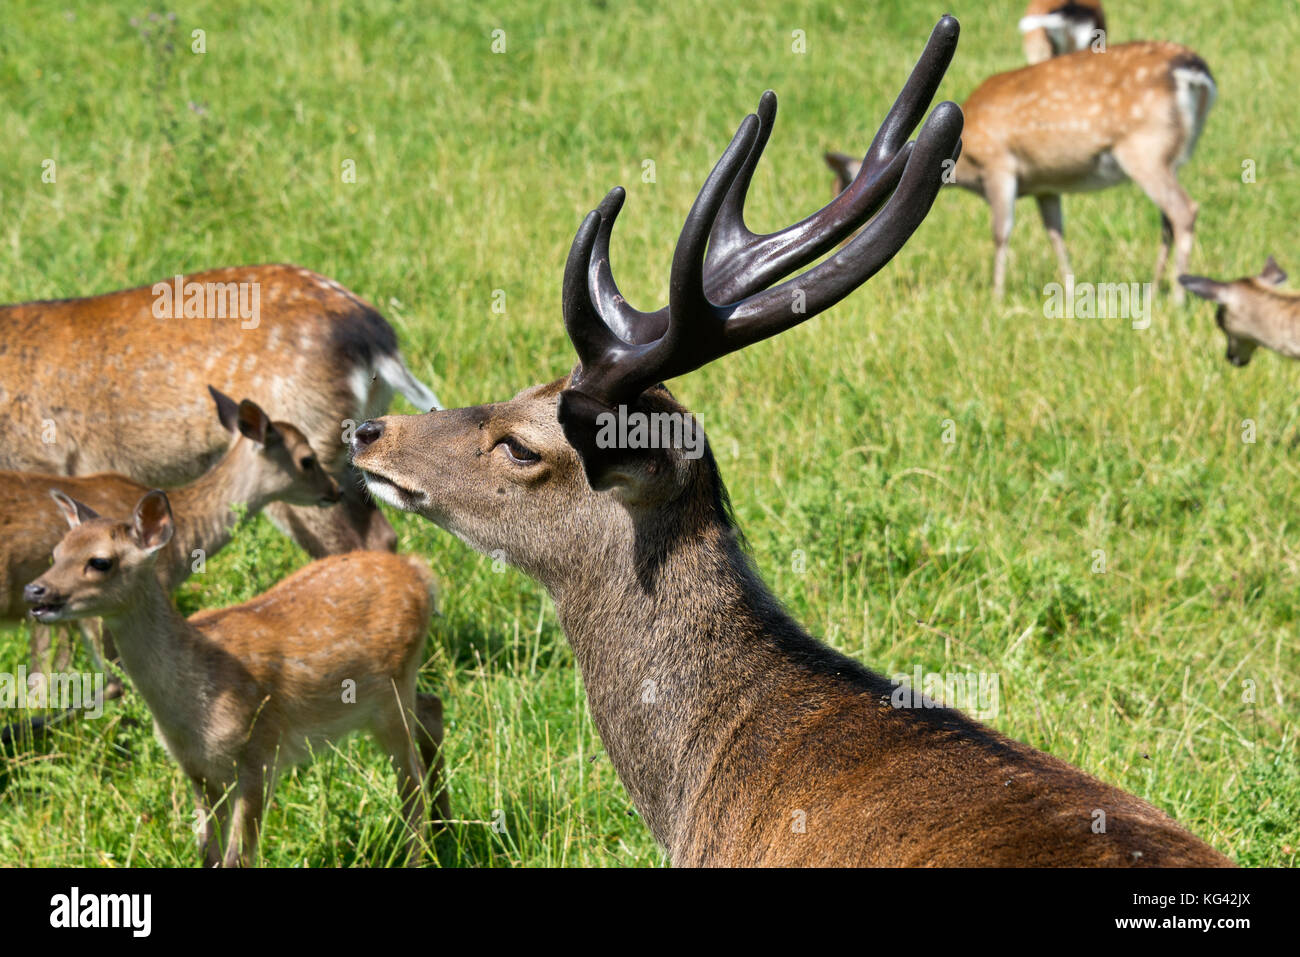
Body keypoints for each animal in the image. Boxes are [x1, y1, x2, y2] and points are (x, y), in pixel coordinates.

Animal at [25, 488, 447, 868]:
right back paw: (444, 829)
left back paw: (418, 853)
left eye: (100, 561)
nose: (35, 590)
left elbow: (237, 858)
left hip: (392, 693)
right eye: (55, 553)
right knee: (432, 710)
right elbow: (208, 854)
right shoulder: (198, 771)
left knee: (411, 782)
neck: (194, 710)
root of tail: (420, 572)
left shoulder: (258, 752)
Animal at [826, 41, 1211, 300]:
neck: (968, 162)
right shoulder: (1045, 185)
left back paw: (1178, 298)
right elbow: (1055, 233)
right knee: (1168, 219)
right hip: (1170, 155)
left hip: (1144, 149)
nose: (842, 247)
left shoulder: (1000, 165)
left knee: (1184, 209)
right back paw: (1154, 291)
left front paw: (996, 297)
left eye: (847, 191)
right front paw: (1070, 291)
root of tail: (1194, 71)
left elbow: (1001, 232)